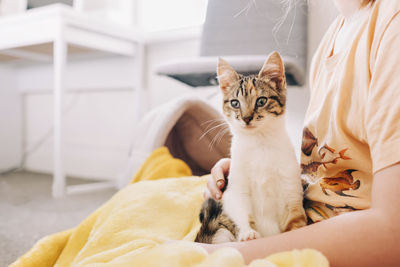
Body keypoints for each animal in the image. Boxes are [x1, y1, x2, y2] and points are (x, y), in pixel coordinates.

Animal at [195, 52, 304, 245]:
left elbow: (295, 219)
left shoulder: (291, 188)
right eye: (235, 103)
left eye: (261, 101)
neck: (259, 143)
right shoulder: (235, 188)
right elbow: (240, 209)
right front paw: (248, 232)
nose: (246, 118)